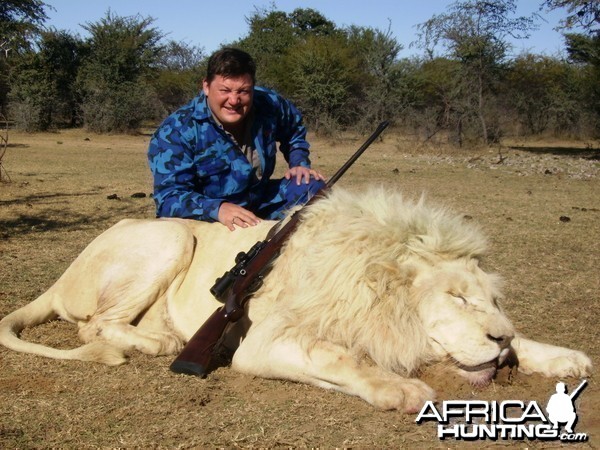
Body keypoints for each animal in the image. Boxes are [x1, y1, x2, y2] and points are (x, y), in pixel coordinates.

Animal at [0, 186, 592, 412]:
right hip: (170, 237)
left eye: (491, 301)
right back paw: (158, 341)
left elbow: (528, 342)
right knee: (95, 325)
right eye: (456, 298)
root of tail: (64, 272)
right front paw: (400, 389)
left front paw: (561, 357)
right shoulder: (255, 343)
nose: (498, 339)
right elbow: (339, 356)